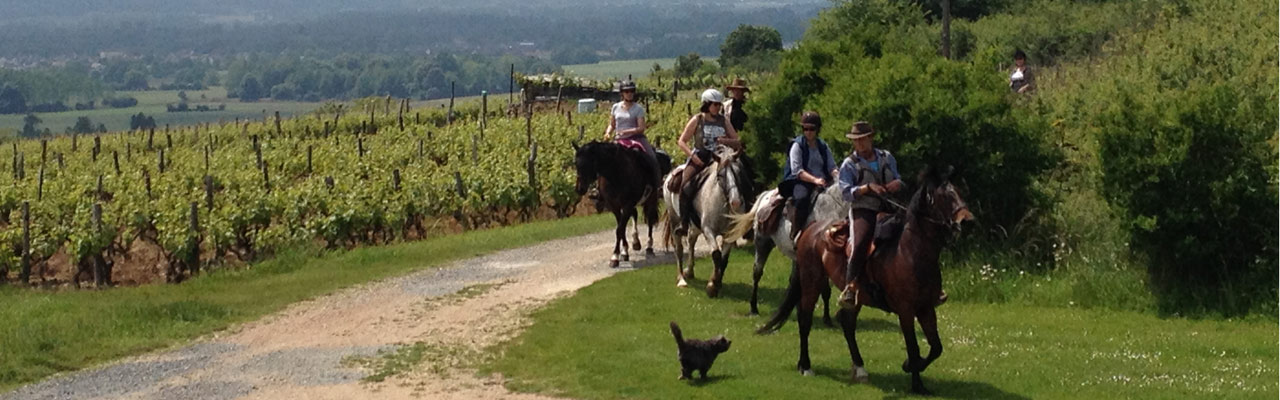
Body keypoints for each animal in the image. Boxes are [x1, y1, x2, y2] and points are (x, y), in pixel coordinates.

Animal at [660, 145, 747, 294]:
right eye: (720, 175)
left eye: (739, 172)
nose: (736, 202)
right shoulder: (708, 231)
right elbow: (716, 255)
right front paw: (712, 286)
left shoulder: (730, 235)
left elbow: (723, 259)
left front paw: (717, 282)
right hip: (674, 220)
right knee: (679, 248)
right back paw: (681, 279)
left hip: (694, 227)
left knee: (691, 241)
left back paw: (689, 271)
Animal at [727, 184, 844, 319]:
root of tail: (765, 195)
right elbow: (825, 289)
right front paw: (827, 318)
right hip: (762, 244)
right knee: (757, 273)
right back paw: (754, 308)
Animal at [757, 165, 967, 394]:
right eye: (945, 195)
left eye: (958, 191)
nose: (967, 220)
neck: (910, 251)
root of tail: (809, 230)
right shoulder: (905, 310)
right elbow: (913, 346)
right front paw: (915, 379)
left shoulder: (926, 307)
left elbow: (936, 347)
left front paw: (912, 369)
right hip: (812, 281)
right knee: (805, 319)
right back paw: (806, 366)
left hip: (853, 296)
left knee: (847, 323)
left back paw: (859, 368)